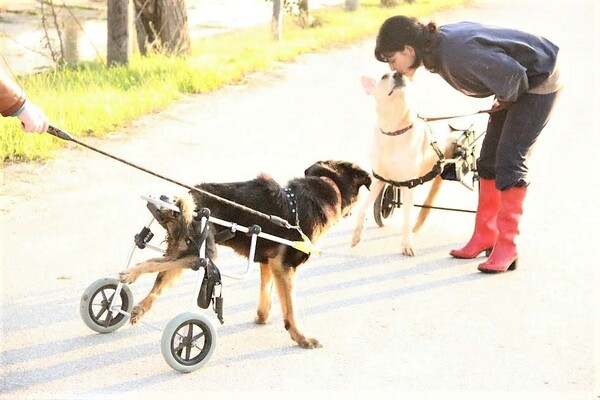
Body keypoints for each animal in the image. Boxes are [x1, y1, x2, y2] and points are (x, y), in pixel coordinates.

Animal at [118, 159, 370, 346]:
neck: (325, 186)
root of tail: (184, 200)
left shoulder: (269, 264)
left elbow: (266, 295)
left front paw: (262, 317)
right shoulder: (285, 267)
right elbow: (290, 309)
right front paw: (301, 338)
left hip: (185, 251)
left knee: (159, 276)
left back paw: (136, 306)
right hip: (201, 255)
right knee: (156, 263)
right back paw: (130, 274)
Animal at [350, 72, 452, 256]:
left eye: (402, 73)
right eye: (384, 76)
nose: (399, 74)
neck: (394, 129)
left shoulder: (408, 184)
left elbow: (406, 219)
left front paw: (406, 245)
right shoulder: (379, 178)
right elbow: (362, 209)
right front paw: (356, 236)